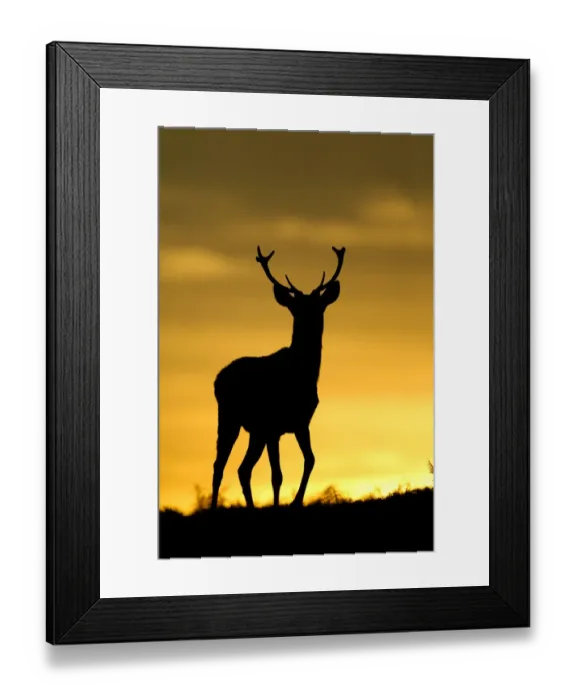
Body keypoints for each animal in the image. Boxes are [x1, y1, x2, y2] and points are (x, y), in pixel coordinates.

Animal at [211, 245, 346, 510]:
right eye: (296, 308)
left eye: (318, 305)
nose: (308, 320)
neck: (303, 374)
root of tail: (218, 379)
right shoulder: (273, 426)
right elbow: (277, 475)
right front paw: (281, 505)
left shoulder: (301, 422)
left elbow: (310, 459)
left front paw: (296, 502)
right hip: (230, 417)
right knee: (219, 466)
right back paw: (212, 508)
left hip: (255, 432)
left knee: (243, 469)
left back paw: (251, 508)